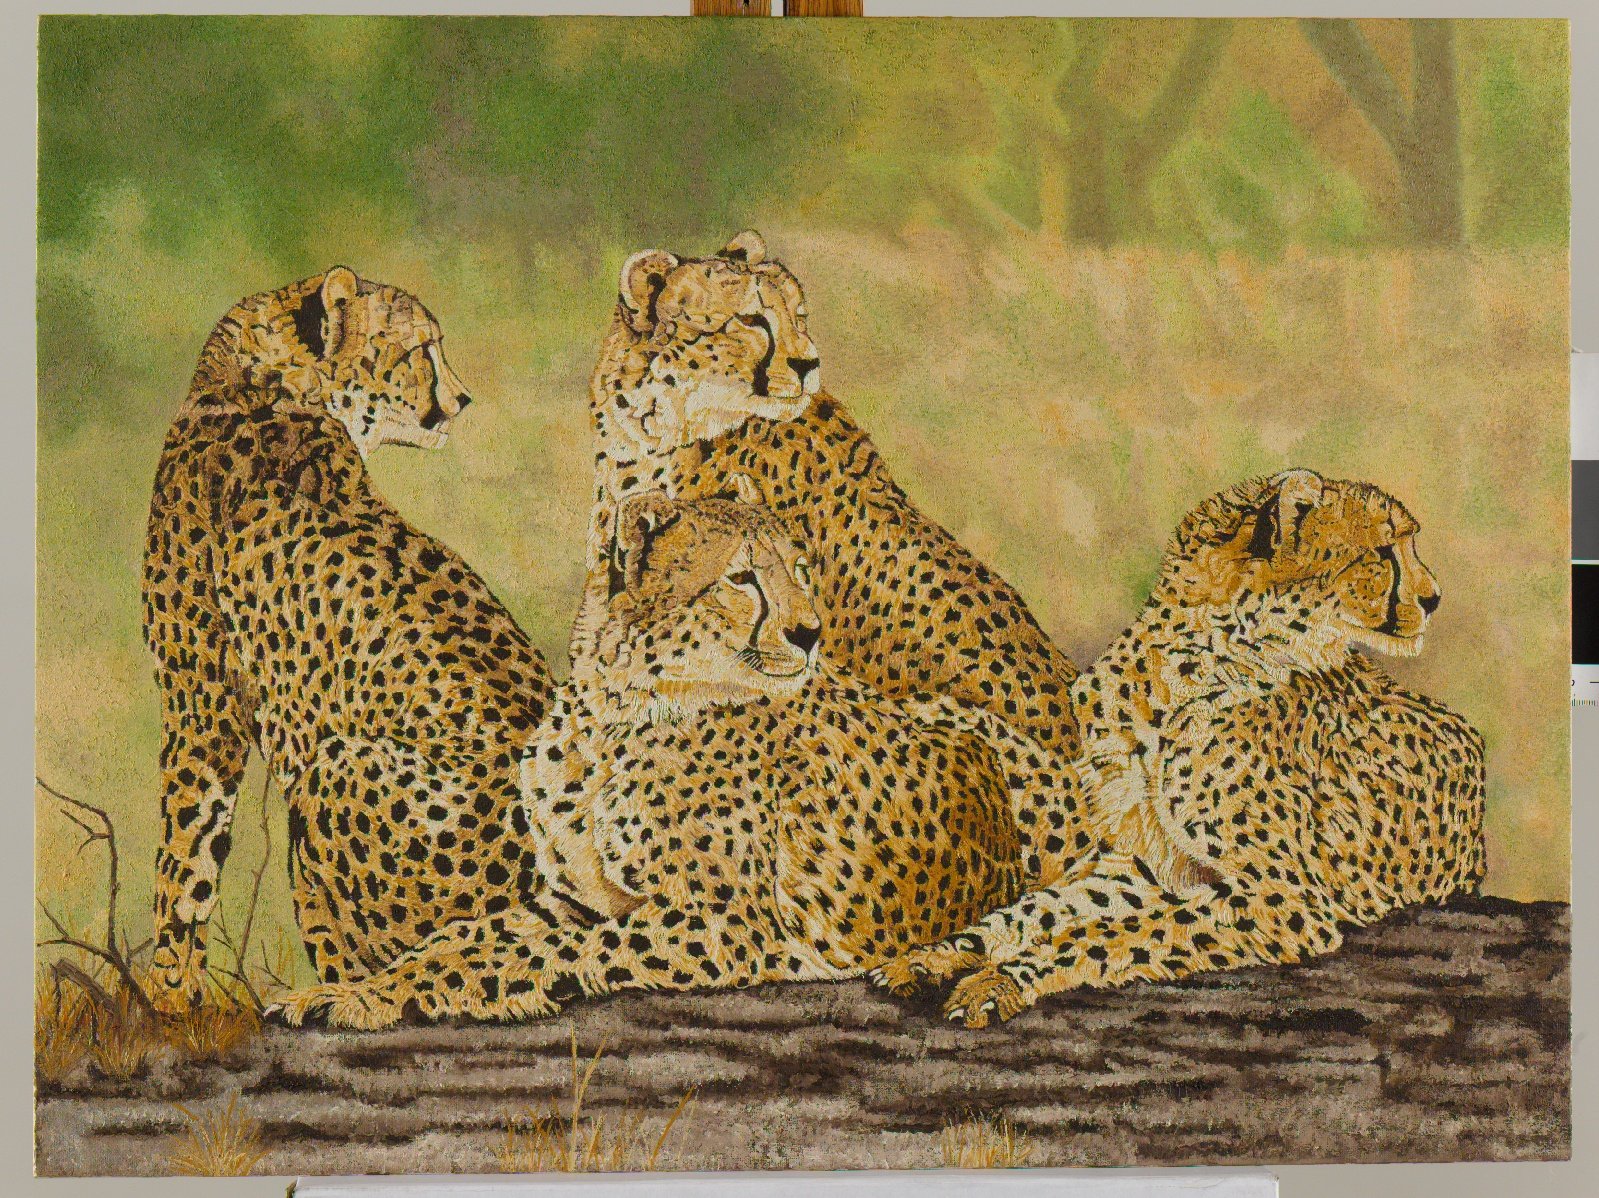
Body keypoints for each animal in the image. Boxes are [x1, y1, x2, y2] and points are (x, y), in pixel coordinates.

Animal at [143, 267, 555, 1015]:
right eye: (422, 348)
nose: (461, 398)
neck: (265, 383)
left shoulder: (203, 707)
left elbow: (185, 857)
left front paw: (166, 994)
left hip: (334, 766)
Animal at [265, 493, 1091, 1031]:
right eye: (741, 578)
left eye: (799, 568)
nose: (809, 634)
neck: (610, 717)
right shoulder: (574, 897)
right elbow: (465, 934)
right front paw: (354, 990)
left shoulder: (727, 927)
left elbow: (541, 950)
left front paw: (398, 995)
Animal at [871, 468, 1487, 1028]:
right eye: (1383, 551)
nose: (1435, 599)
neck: (1192, 664)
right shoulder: (1144, 866)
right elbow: (1034, 912)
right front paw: (937, 956)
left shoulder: (1283, 898)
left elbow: (1112, 933)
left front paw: (1000, 980)